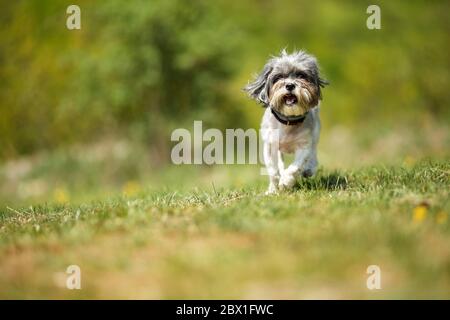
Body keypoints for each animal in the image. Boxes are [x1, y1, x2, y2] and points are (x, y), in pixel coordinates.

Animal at [244, 49, 328, 194]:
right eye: (279, 77)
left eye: (301, 75)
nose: (289, 85)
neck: (288, 121)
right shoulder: (270, 146)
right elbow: (273, 171)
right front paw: (273, 189)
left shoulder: (304, 145)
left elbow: (295, 167)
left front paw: (286, 182)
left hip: (315, 135)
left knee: (312, 155)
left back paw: (309, 169)